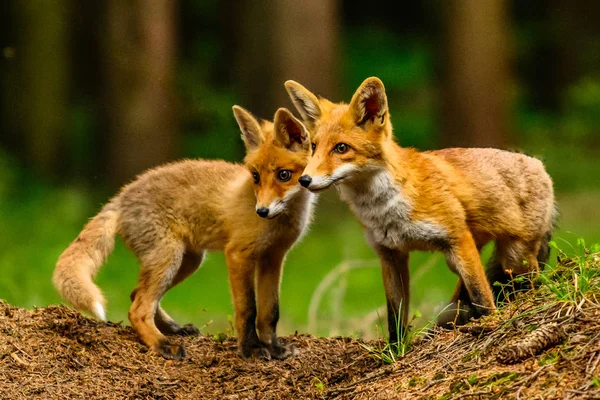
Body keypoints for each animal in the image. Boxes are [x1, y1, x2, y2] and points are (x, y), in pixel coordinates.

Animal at [52, 106, 314, 360]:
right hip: (169, 258)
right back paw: (162, 344)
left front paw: (275, 348)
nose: (262, 211)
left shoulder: (273, 258)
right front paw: (252, 349)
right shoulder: (239, 254)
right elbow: (247, 309)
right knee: (137, 309)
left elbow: (270, 312)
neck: (282, 221)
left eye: (283, 175)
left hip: (187, 261)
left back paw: (174, 330)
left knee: (136, 295)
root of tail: (121, 196)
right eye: (256, 176)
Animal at [284, 76, 556, 338]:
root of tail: (538, 164)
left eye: (341, 148)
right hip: (469, 256)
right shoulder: (390, 254)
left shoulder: (457, 239)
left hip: (513, 258)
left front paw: (492, 323)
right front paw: (396, 350)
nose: (304, 180)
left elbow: (482, 297)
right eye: (314, 147)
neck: (386, 209)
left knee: (528, 283)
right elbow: (395, 317)